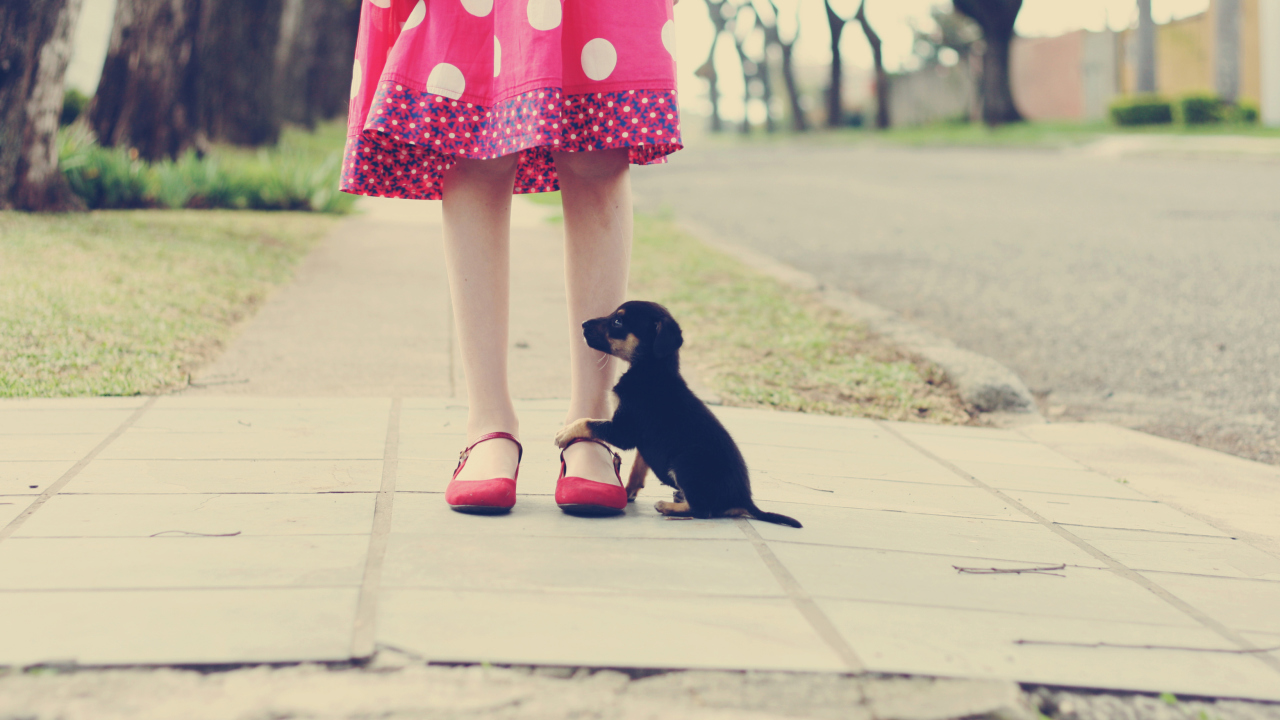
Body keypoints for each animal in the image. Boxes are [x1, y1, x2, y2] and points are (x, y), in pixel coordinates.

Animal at [552, 298, 798, 527]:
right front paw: (628, 491)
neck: (652, 371)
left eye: (618, 321)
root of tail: (744, 500)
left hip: (686, 462)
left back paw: (668, 506)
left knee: (703, 510)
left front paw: (565, 433)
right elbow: (638, 466)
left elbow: (588, 422)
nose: (583, 324)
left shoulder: (624, 430)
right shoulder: (643, 440)